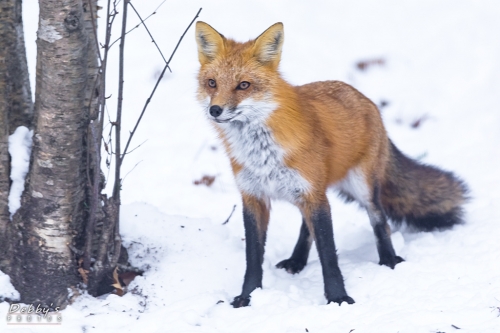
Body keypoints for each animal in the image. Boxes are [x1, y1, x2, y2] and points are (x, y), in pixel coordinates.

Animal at [194, 20, 468, 306]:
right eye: (212, 83)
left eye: (243, 85)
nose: (215, 110)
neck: (262, 153)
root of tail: (365, 99)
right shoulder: (254, 197)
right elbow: (253, 257)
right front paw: (247, 297)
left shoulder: (314, 196)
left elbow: (328, 253)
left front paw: (338, 298)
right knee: (306, 228)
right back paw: (297, 261)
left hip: (360, 188)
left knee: (380, 221)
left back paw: (388, 260)